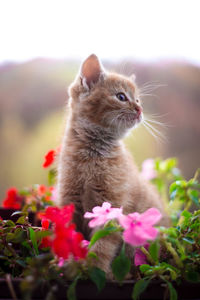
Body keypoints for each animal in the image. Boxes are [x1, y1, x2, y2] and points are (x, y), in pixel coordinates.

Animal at [56, 55, 169, 276]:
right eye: (121, 97)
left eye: (138, 99)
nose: (140, 109)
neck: (91, 157)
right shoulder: (70, 199)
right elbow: (70, 237)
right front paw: (70, 266)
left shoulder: (111, 206)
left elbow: (103, 244)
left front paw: (95, 269)